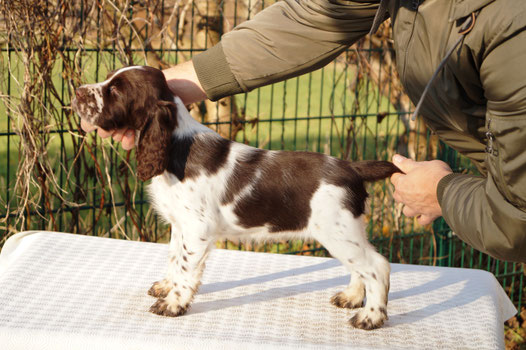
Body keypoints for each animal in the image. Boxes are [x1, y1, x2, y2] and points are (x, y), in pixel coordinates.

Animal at [72, 66, 402, 330]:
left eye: (116, 90)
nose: (76, 91)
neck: (175, 146)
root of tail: (351, 167)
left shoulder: (197, 229)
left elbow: (185, 267)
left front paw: (173, 303)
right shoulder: (181, 226)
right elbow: (174, 257)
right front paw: (166, 287)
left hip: (337, 231)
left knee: (377, 266)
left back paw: (371, 316)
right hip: (347, 231)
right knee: (361, 266)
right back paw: (352, 297)